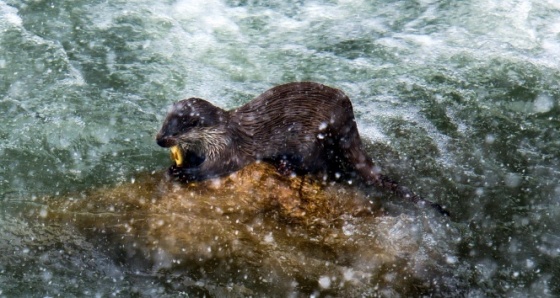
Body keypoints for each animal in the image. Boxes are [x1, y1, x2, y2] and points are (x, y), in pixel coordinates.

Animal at [155, 82, 448, 215]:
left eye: (175, 130)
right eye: (163, 123)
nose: (159, 140)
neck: (219, 133)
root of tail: (347, 114)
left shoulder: (227, 147)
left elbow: (217, 167)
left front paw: (185, 173)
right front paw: (177, 165)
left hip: (313, 139)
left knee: (319, 164)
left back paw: (286, 165)